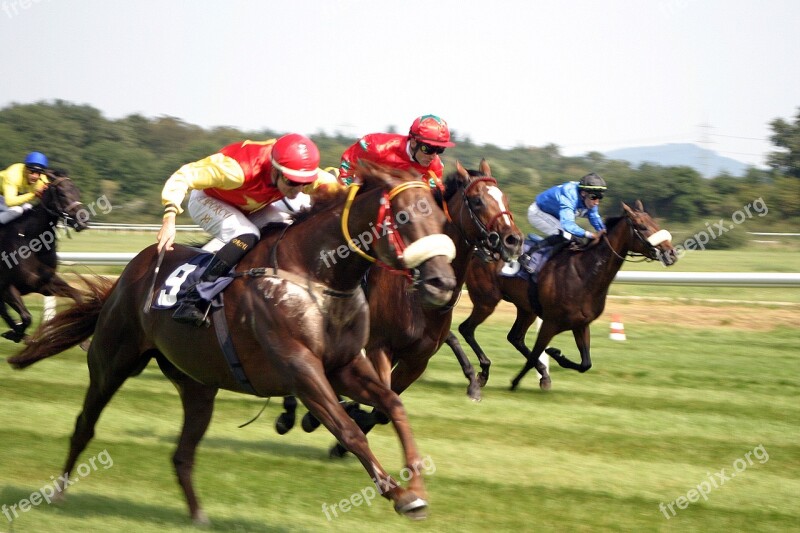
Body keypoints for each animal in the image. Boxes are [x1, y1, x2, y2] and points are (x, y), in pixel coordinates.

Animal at [0, 170, 87, 340]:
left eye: (78, 191)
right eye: (61, 193)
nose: (83, 220)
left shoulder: (44, 284)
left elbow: (78, 296)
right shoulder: (6, 288)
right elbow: (26, 317)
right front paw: (16, 333)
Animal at [276, 158, 524, 454]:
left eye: (504, 198)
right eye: (477, 201)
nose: (514, 240)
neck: (416, 298)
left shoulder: (417, 360)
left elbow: (384, 406)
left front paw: (343, 438)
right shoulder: (380, 347)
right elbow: (382, 395)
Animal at [446, 200, 680, 390]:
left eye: (655, 223)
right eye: (642, 226)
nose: (671, 253)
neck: (585, 272)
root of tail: (478, 250)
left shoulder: (581, 324)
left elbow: (586, 363)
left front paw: (555, 357)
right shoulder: (550, 322)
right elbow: (535, 354)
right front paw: (517, 381)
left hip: (526, 308)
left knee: (515, 337)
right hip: (487, 301)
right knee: (467, 329)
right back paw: (484, 371)